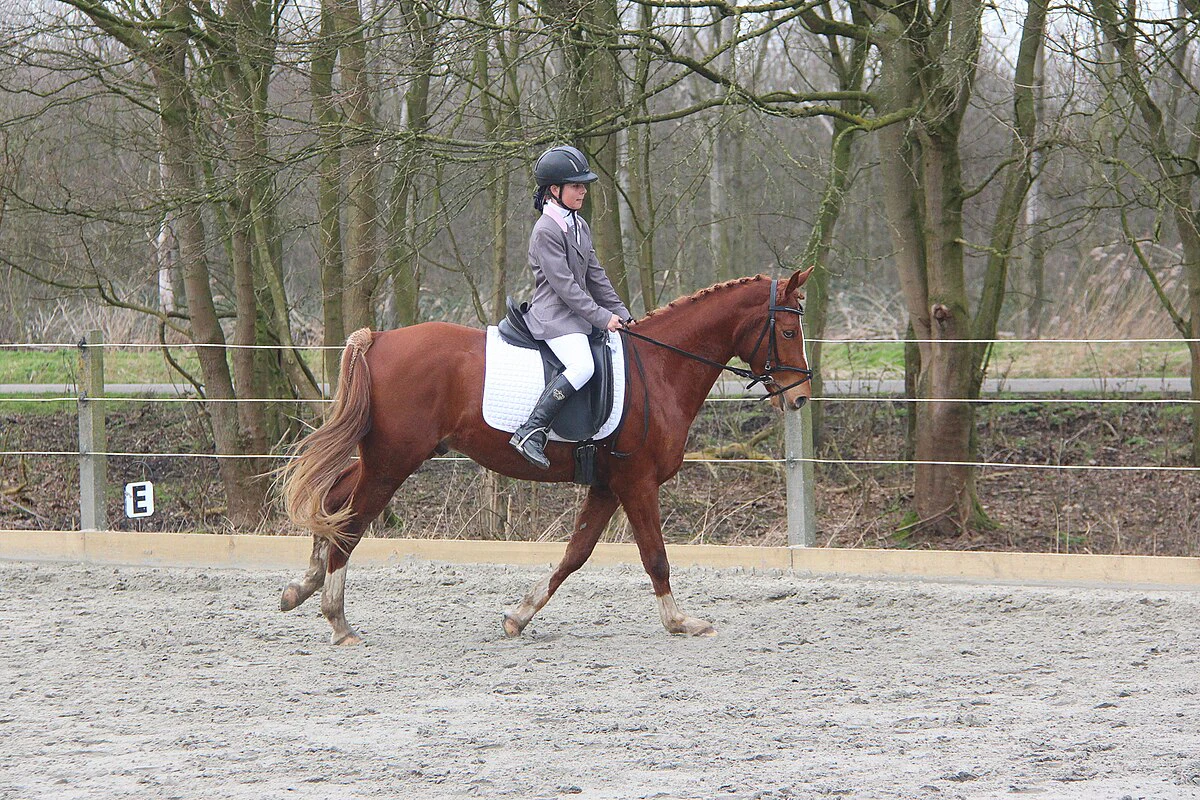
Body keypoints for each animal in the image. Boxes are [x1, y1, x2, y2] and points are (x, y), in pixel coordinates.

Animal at [278, 268, 815, 645]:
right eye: (789, 332)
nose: (800, 398)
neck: (661, 368)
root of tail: (381, 338)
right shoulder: (637, 481)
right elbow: (656, 557)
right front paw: (682, 622)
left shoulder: (607, 485)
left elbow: (575, 554)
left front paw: (519, 616)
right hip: (393, 461)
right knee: (350, 521)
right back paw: (337, 620)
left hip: (386, 456)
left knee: (333, 500)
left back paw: (302, 588)